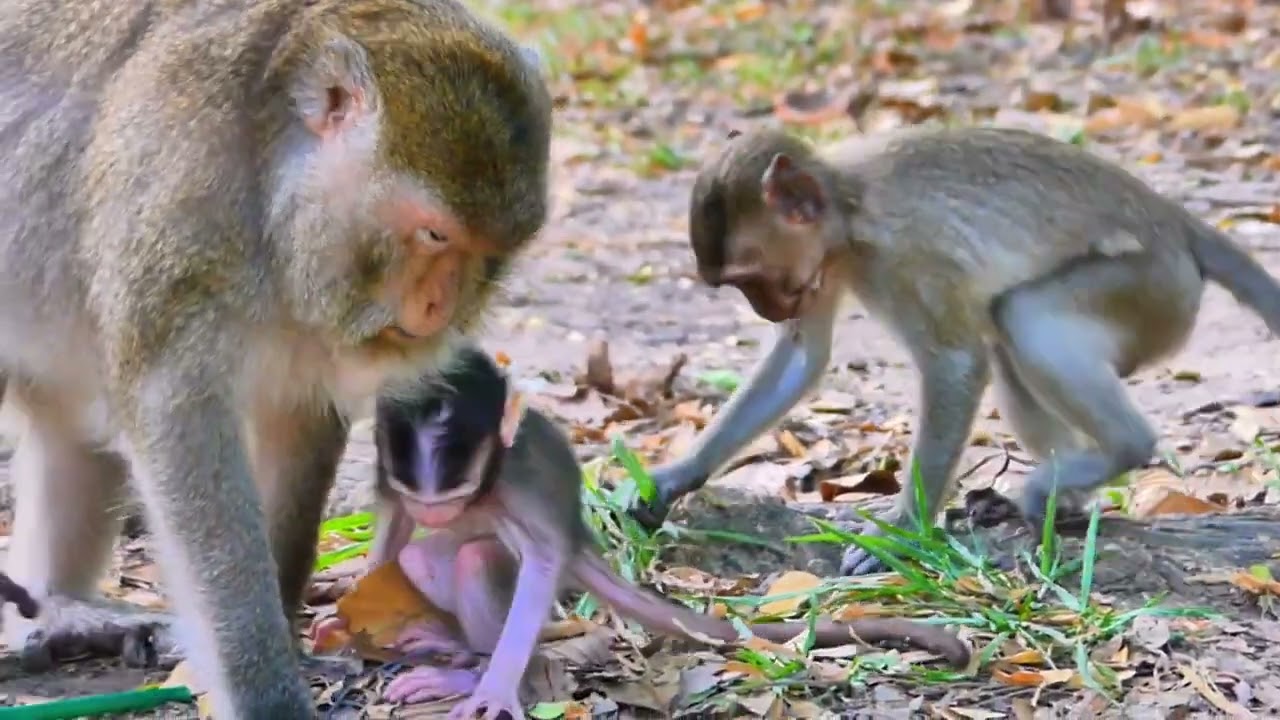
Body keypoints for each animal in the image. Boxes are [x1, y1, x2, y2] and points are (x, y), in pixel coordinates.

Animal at [0, 0, 551, 717]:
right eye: (434, 233)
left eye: (489, 253)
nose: (437, 307)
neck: (268, 182)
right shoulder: (178, 202)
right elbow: (176, 417)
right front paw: (264, 689)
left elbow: (297, 420)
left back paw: (57, 609)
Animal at [314, 347, 971, 719]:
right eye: (424, 498)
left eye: (452, 495)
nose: (436, 516)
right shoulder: (391, 472)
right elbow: (391, 527)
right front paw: (344, 614)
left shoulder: (520, 482)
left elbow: (540, 565)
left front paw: (496, 688)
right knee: (422, 561)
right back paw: (440, 639)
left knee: (479, 559)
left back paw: (472, 668)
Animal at [630, 124, 1280, 578]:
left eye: (751, 280)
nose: (767, 310)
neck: (849, 210)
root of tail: (1175, 221)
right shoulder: (824, 267)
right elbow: (801, 358)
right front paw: (676, 475)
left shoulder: (907, 256)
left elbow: (956, 365)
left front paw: (901, 532)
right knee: (1009, 337)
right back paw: (1067, 497)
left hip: (1153, 290)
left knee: (1021, 317)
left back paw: (1118, 449)